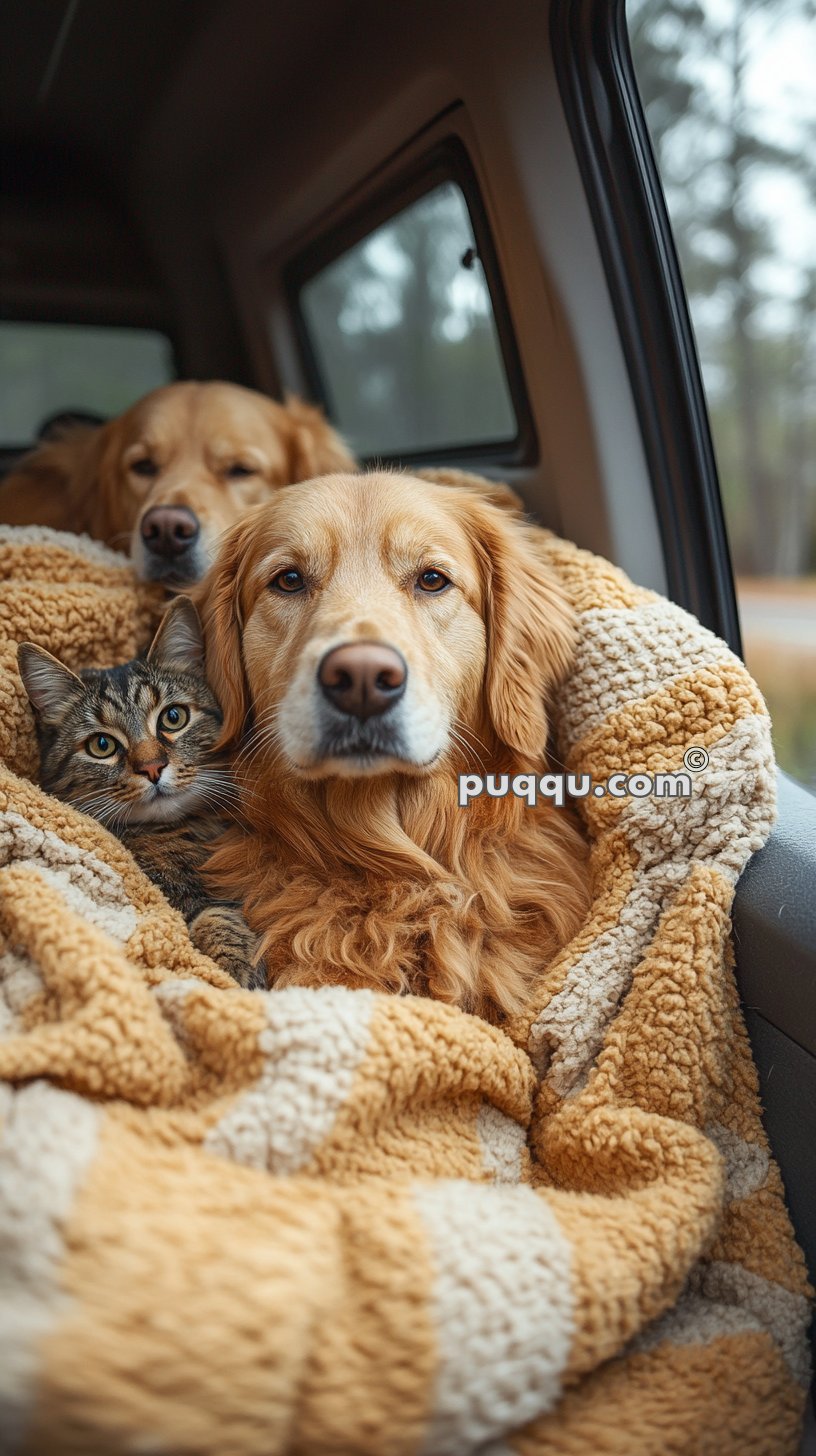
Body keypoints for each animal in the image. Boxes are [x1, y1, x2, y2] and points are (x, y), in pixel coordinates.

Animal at [17, 594, 265, 990]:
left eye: (173, 718)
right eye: (102, 745)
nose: (152, 767)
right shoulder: (178, 898)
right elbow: (212, 914)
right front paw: (240, 966)